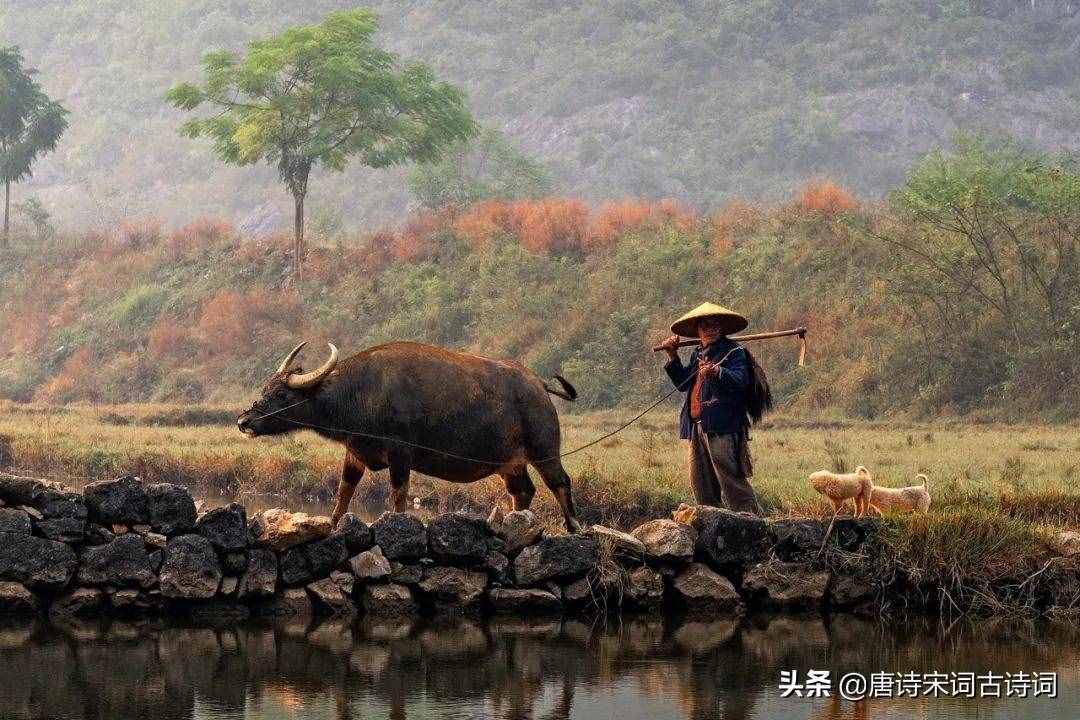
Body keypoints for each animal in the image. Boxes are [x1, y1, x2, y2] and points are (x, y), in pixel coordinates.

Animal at [238, 341, 583, 533]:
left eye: (281, 394)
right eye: (266, 388)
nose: (244, 421)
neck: (361, 393)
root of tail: (538, 384)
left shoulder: (400, 454)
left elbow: (398, 493)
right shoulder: (356, 452)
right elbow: (344, 492)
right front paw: (333, 524)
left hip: (544, 449)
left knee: (560, 482)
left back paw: (573, 526)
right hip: (510, 464)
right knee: (522, 490)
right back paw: (516, 519)